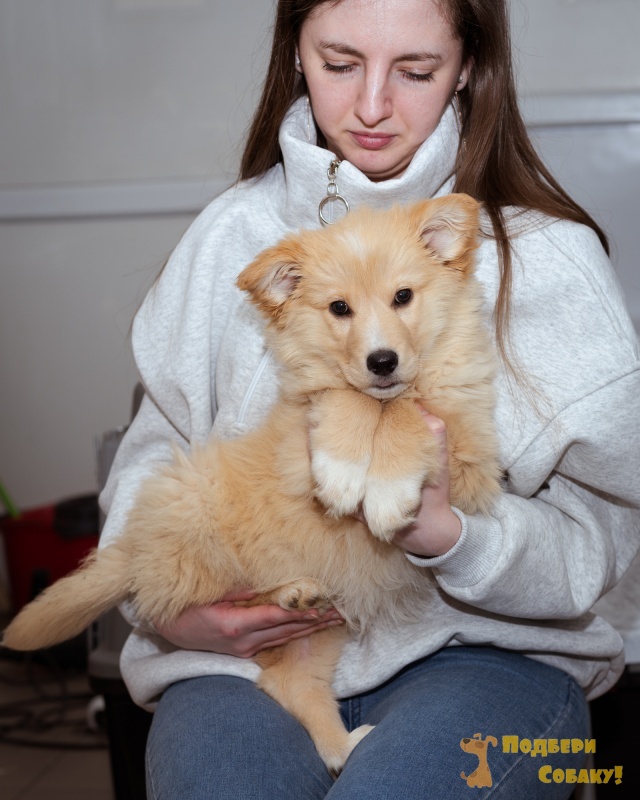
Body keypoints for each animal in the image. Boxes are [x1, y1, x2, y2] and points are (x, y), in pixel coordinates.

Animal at [3, 194, 501, 773]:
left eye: (404, 297)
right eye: (339, 309)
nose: (382, 362)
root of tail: (137, 546)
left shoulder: (471, 454)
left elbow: (404, 413)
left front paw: (386, 490)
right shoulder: (301, 432)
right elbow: (349, 397)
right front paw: (344, 471)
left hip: (319, 633)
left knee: (289, 683)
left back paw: (342, 744)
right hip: (206, 535)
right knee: (216, 602)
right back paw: (289, 592)